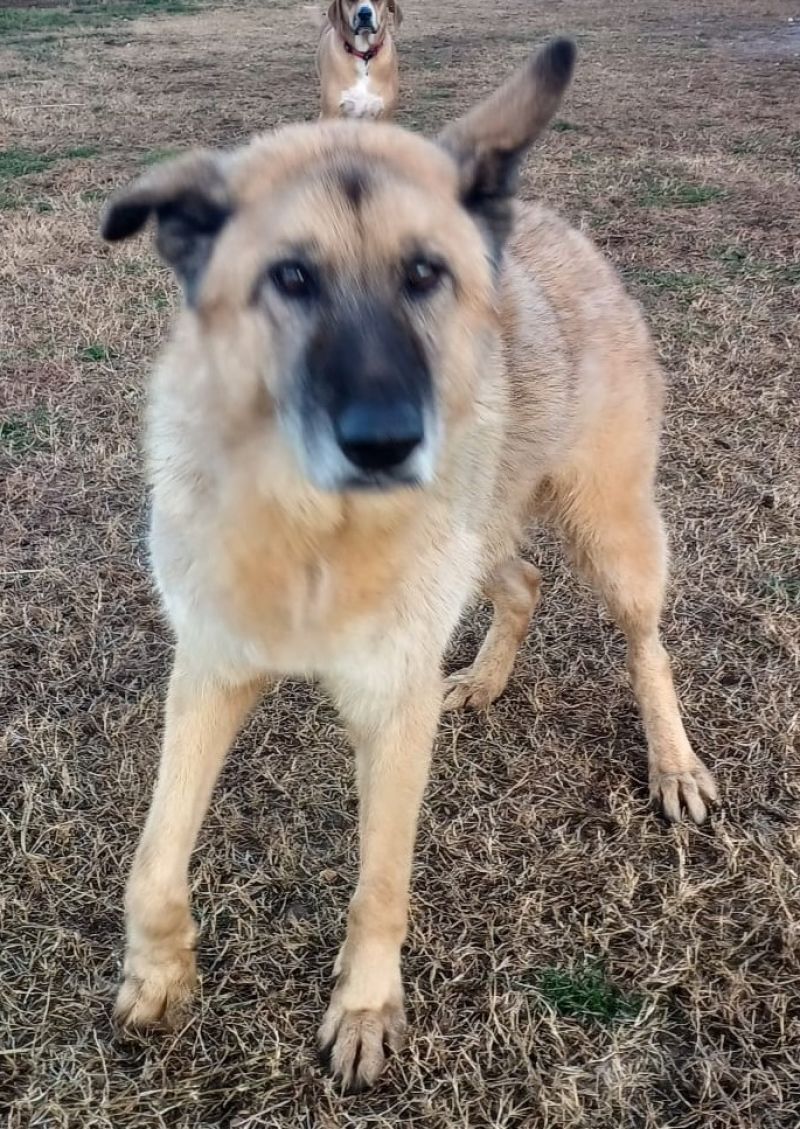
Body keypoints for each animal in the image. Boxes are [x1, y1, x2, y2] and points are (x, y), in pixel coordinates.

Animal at [99, 37, 717, 1092]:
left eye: (426, 273)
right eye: (290, 278)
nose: (389, 443)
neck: (312, 528)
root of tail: (554, 226)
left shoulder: (392, 708)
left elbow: (380, 881)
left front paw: (365, 1007)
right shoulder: (210, 671)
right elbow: (151, 857)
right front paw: (158, 973)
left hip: (611, 532)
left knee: (646, 644)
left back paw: (673, 762)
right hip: (487, 533)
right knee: (523, 583)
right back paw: (485, 677)